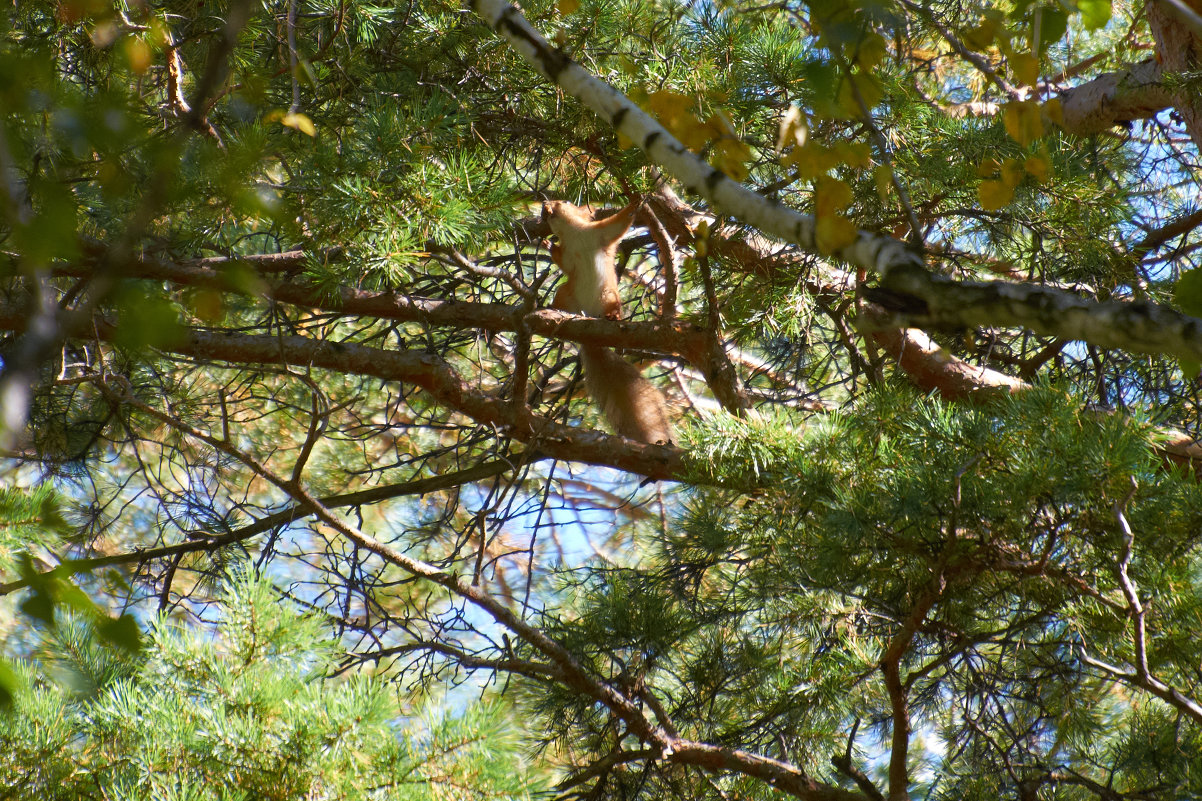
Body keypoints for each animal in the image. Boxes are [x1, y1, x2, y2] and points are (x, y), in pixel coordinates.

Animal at [543, 194, 673, 442]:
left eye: (564, 202)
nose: (545, 207)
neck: (574, 234)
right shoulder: (568, 254)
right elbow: (564, 262)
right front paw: (548, 245)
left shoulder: (600, 234)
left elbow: (618, 224)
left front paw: (637, 201)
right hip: (566, 293)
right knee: (562, 300)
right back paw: (554, 310)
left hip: (609, 296)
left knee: (611, 309)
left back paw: (612, 317)